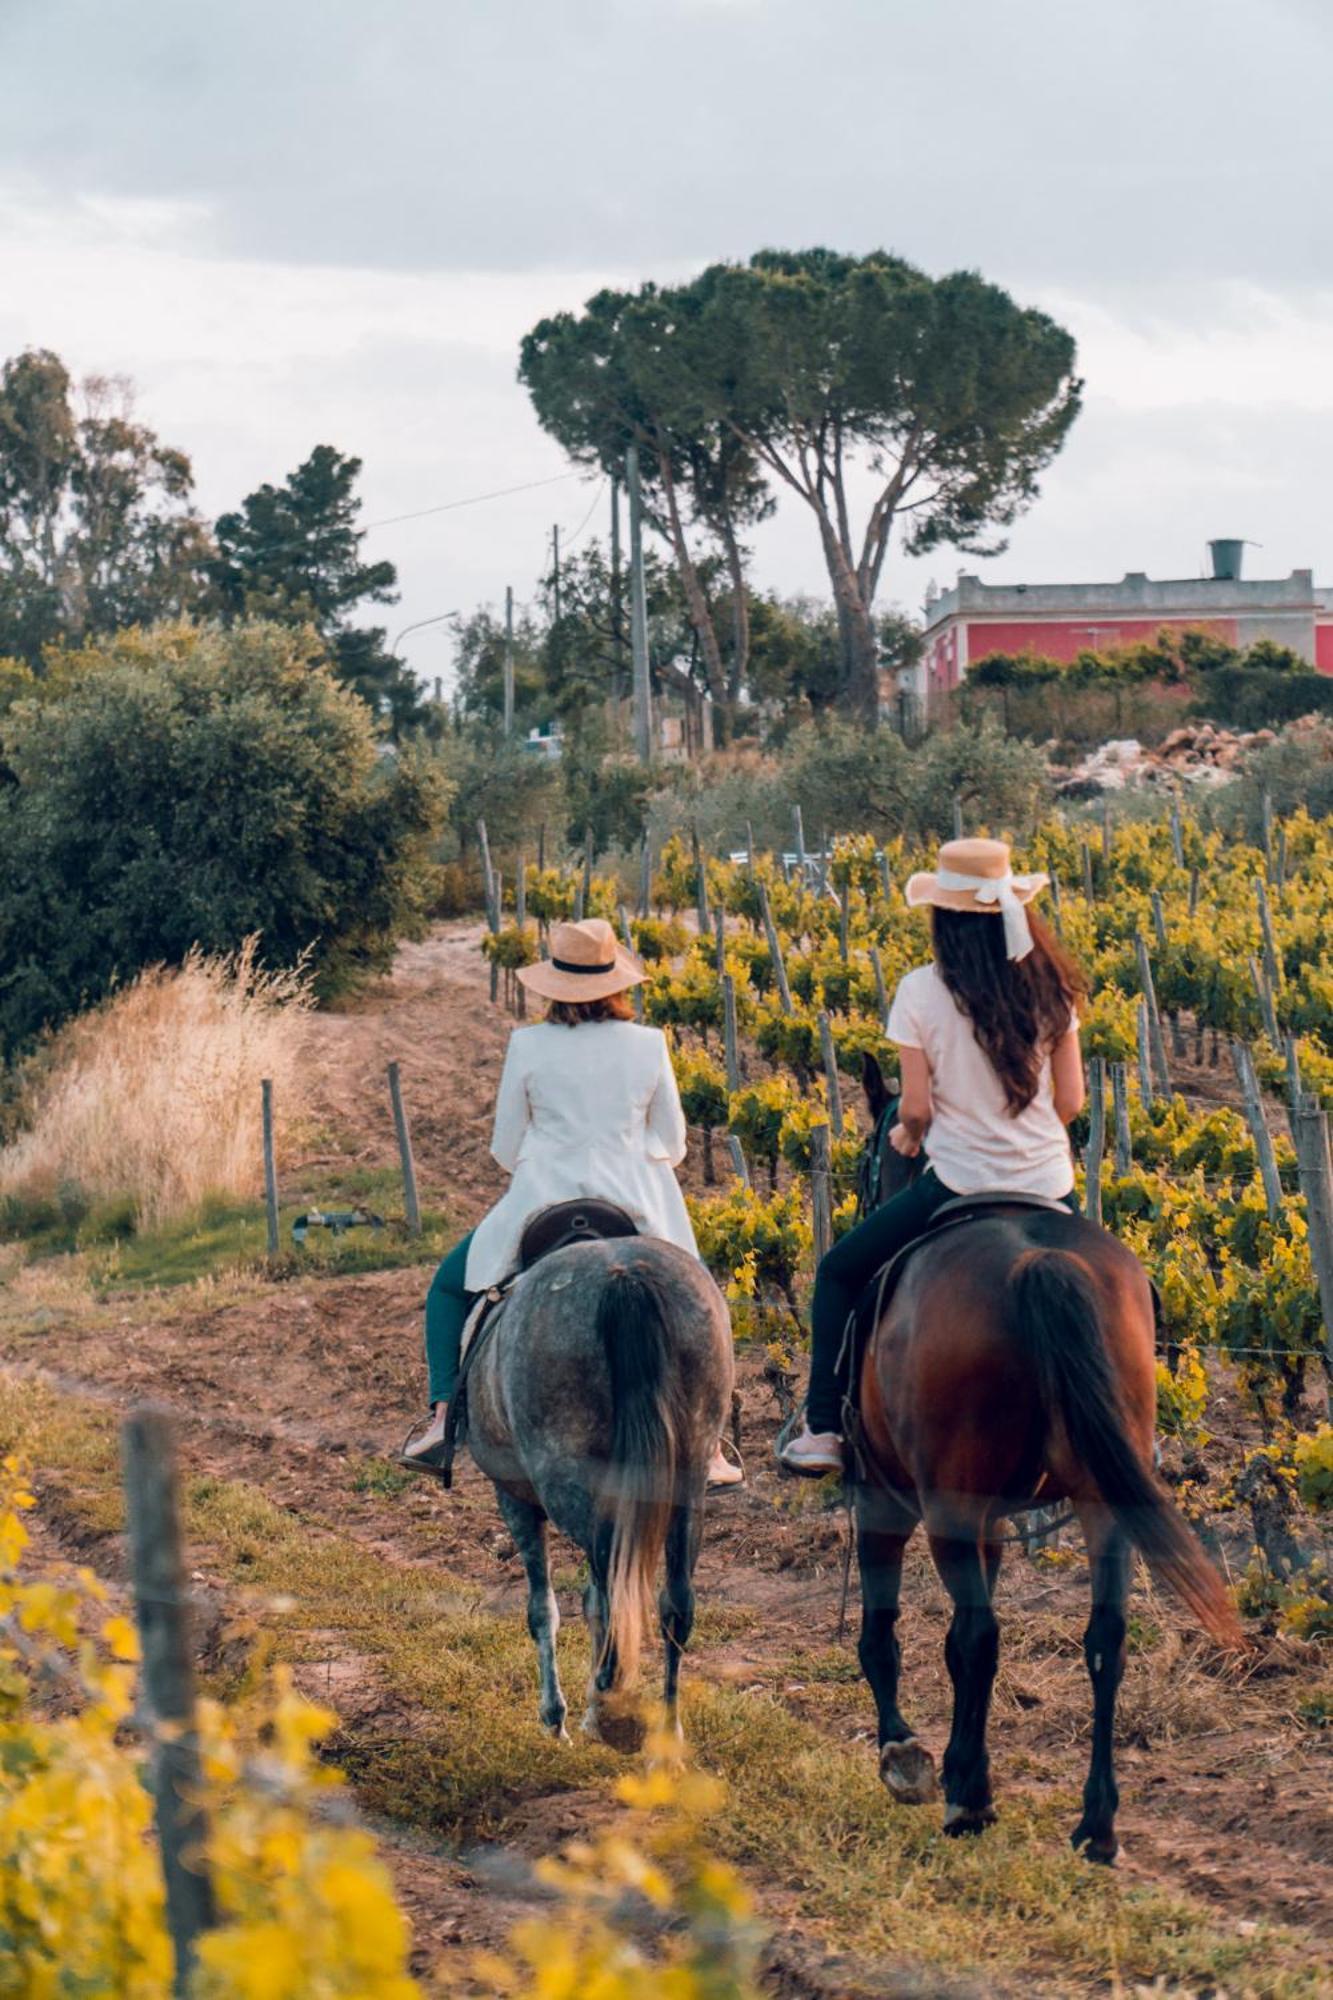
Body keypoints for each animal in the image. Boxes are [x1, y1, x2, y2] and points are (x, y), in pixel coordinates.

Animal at [456, 1240, 728, 1744]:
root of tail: (624, 1277)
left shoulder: (516, 1501)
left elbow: (543, 1607)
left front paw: (556, 1715)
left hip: (571, 1484)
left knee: (610, 1583)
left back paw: (609, 1713)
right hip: (687, 1487)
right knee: (675, 1603)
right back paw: (665, 1733)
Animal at [852, 1064, 1232, 1856]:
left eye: (869, 1156)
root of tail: (1039, 1260)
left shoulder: (881, 1495)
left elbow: (887, 1632)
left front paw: (906, 1754)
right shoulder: (990, 1517)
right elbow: (953, 1645)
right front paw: (953, 1759)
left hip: (945, 1505)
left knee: (980, 1634)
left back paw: (969, 1802)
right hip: (1100, 1502)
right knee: (1104, 1640)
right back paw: (1096, 1823)